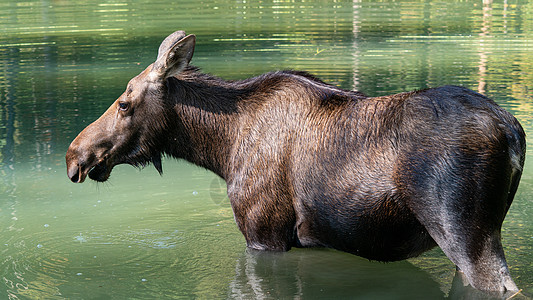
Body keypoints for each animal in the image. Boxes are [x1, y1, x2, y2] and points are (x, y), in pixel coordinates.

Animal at [65, 31, 524, 296]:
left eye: (124, 103)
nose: (74, 156)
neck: (220, 149)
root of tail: (513, 133)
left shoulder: (263, 233)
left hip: (465, 233)